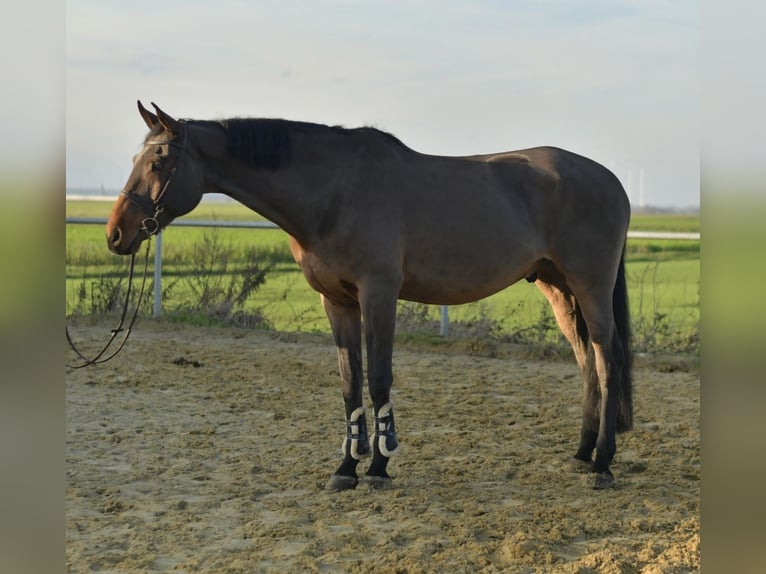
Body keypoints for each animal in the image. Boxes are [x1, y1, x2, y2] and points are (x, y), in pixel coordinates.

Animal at [106, 101, 632, 490]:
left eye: (158, 161)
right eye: (134, 160)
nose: (116, 234)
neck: (335, 192)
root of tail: (611, 181)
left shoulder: (379, 295)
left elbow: (378, 378)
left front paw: (379, 466)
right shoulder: (336, 302)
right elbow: (349, 383)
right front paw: (346, 468)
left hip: (590, 287)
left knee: (607, 362)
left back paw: (602, 463)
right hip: (557, 288)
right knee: (587, 363)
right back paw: (581, 453)